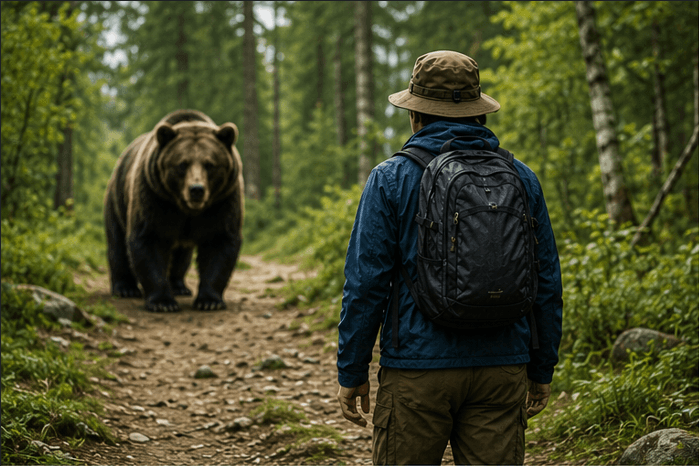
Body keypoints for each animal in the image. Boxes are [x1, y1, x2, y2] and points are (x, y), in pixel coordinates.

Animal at [104, 109, 244, 312]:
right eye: (182, 164)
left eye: (210, 164)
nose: (196, 189)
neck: (187, 209)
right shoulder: (155, 198)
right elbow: (149, 240)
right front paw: (163, 303)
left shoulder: (222, 202)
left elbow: (219, 243)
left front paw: (209, 301)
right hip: (117, 200)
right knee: (117, 243)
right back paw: (125, 288)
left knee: (181, 256)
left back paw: (179, 286)